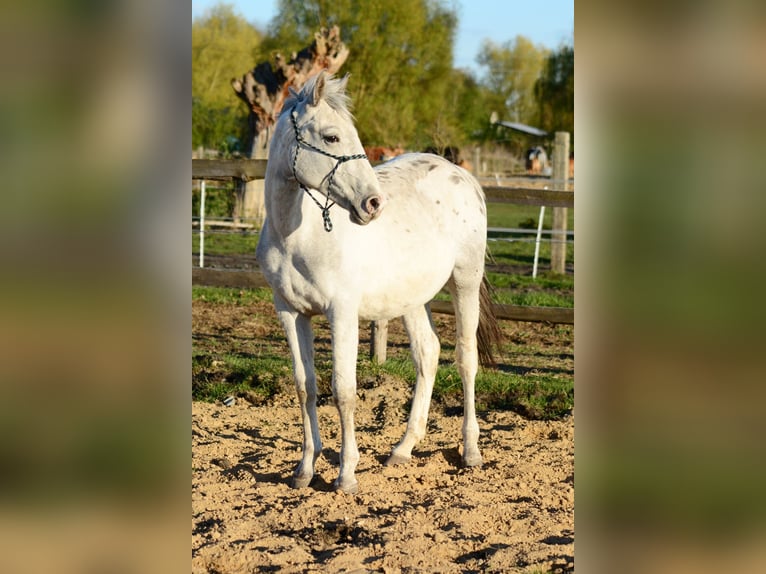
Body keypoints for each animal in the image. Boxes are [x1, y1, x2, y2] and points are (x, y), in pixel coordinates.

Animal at [256, 71, 502, 494]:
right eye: (332, 137)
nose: (373, 204)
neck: (296, 235)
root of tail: (461, 174)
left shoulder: (342, 313)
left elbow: (344, 390)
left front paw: (346, 474)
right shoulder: (290, 312)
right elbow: (305, 386)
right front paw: (304, 469)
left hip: (465, 281)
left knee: (466, 358)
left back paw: (471, 452)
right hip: (413, 297)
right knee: (428, 353)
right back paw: (402, 449)